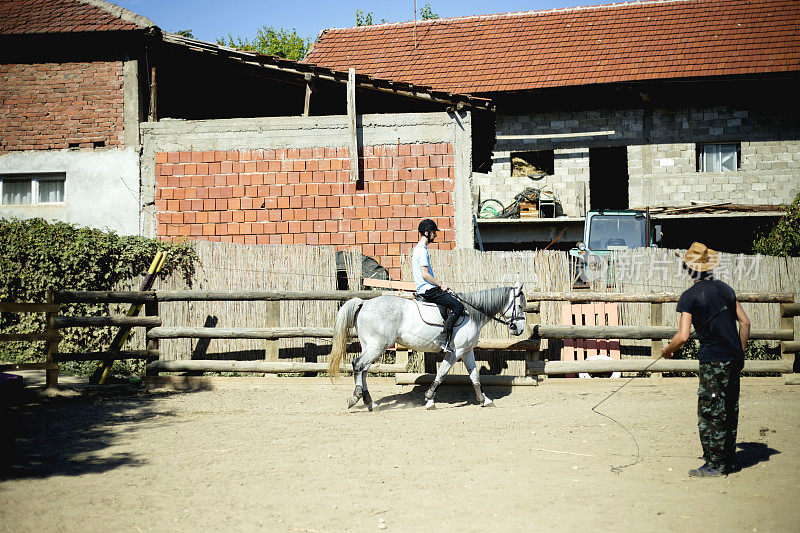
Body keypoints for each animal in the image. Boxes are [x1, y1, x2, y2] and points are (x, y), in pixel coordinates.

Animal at [328, 284, 528, 410]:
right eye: (519, 305)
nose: (519, 329)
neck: (471, 313)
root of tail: (365, 303)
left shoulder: (467, 351)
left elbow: (475, 377)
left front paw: (484, 400)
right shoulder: (455, 352)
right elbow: (441, 374)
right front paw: (430, 399)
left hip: (370, 346)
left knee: (363, 370)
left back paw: (371, 403)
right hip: (377, 346)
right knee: (358, 365)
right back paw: (356, 397)